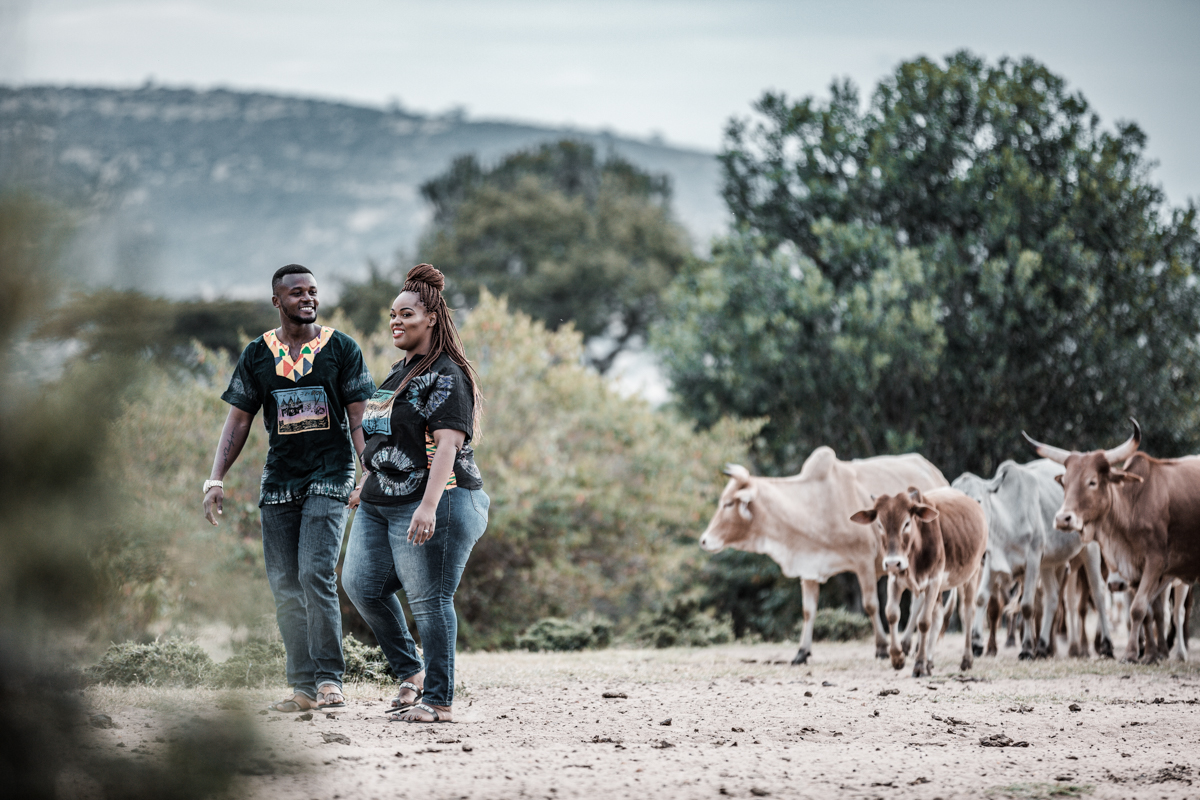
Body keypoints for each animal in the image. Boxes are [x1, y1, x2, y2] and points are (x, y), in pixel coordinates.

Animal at [854, 489, 984, 676]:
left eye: (907, 523)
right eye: (879, 525)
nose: (892, 563)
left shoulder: (933, 581)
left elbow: (923, 622)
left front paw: (919, 664)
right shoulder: (895, 580)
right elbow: (892, 614)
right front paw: (897, 658)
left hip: (971, 576)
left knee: (967, 613)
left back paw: (966, 659)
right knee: (938, 616)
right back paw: (930, 661)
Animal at [1017, 419, 1200, 662]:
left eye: (1092, 482)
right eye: (1065, 482)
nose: (1063, 519)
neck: (1134, 505)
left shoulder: (1156, 562)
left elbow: (1138, 608)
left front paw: (1132, 654)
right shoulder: (1135, 569)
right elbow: (1147, 612)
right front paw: (1149, 654)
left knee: (1177, 612)